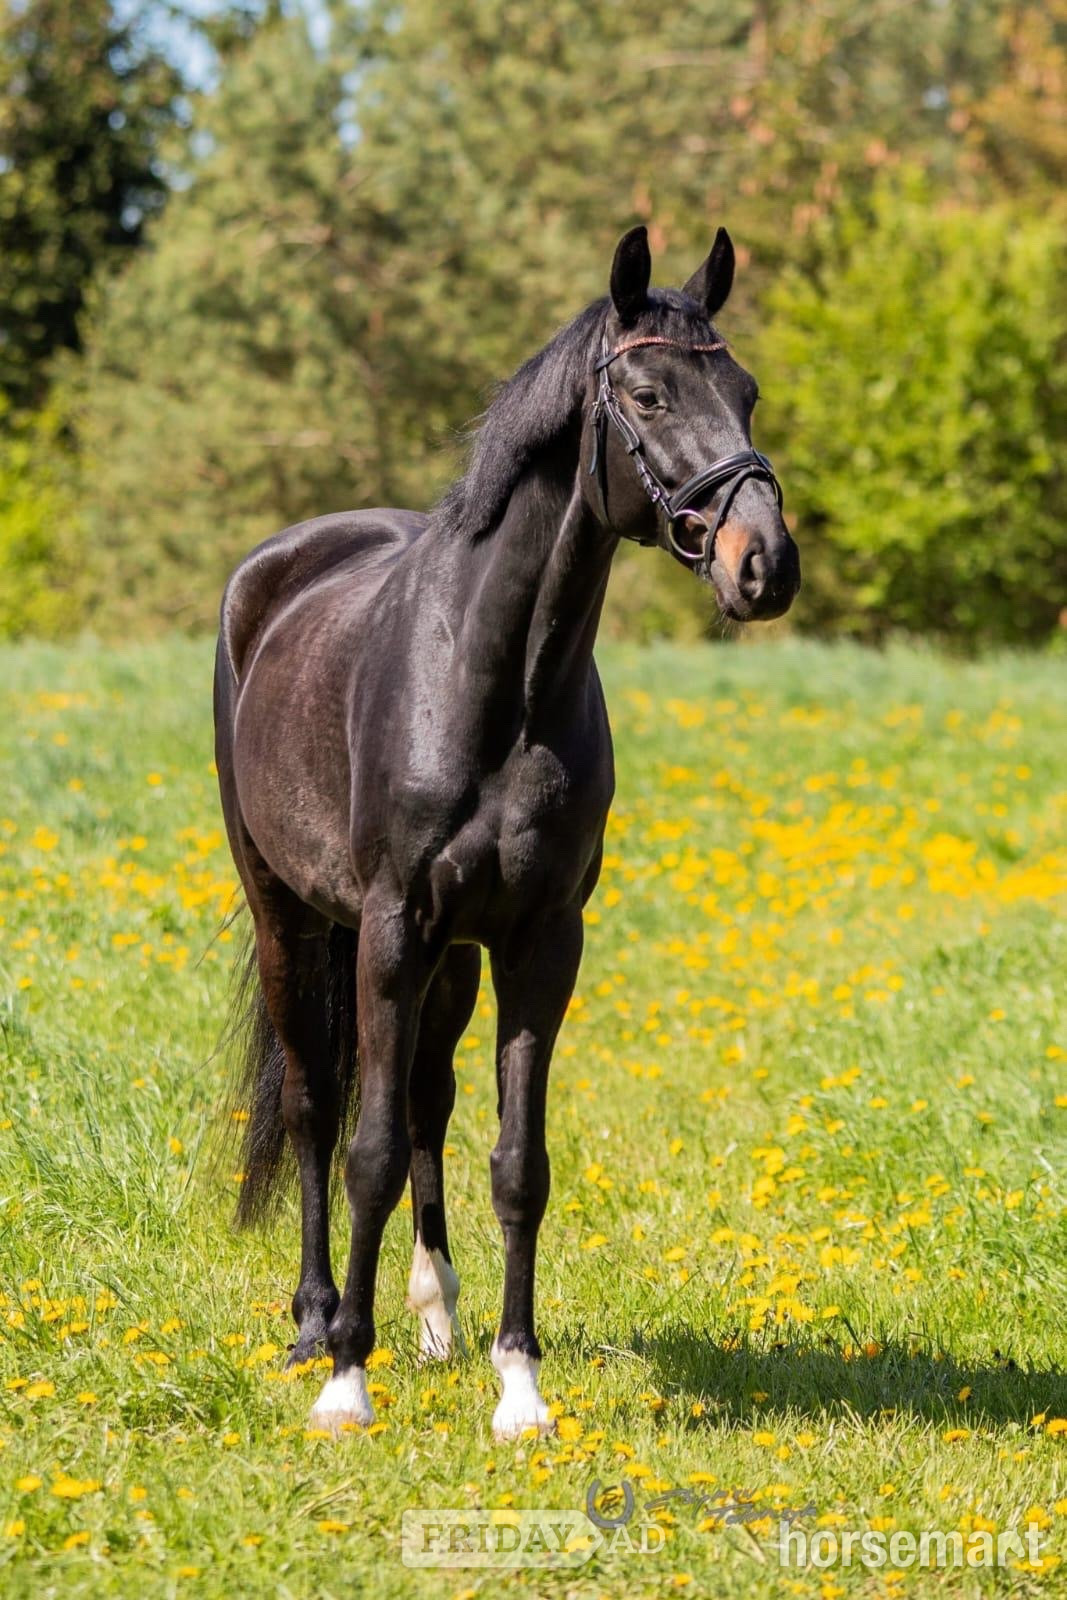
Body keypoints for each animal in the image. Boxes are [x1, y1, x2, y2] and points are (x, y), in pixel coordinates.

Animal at [214, 225, 800, 1439]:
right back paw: (316, 1322)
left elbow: (515, 1161)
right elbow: (365, 1151)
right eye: (645, 393)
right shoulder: (390, 928)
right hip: (292, 917)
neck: (497, 683)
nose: (763, 565)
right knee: (315, 1104)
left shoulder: (537, 941)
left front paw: (516, 1386)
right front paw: (347, 1382)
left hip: (449, 960)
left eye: (746, 393)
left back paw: (435, 1318)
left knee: (427, 1104)